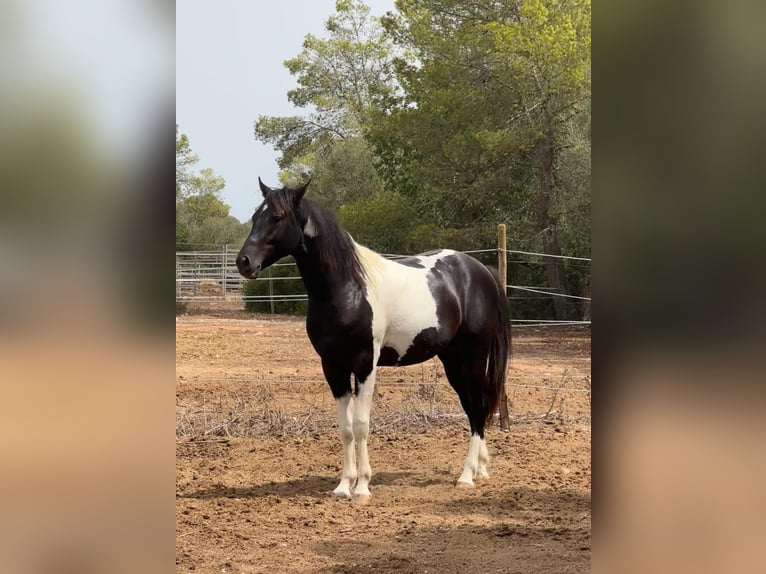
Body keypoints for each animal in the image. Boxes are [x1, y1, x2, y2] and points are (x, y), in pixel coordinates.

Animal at [236, 178, 510, 504]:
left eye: (277, 216)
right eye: (256, 216)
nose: (244, 262)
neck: (347, 288)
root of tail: (481, 271)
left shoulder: (366, 363)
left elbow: (361, 425)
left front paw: (363, 487)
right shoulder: (333, 366)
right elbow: (345, 427)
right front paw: (344, 485)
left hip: (474, 356)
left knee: (478, 406)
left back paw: (467, 476)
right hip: (452, 360)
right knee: (472, 407)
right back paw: (481, 469)